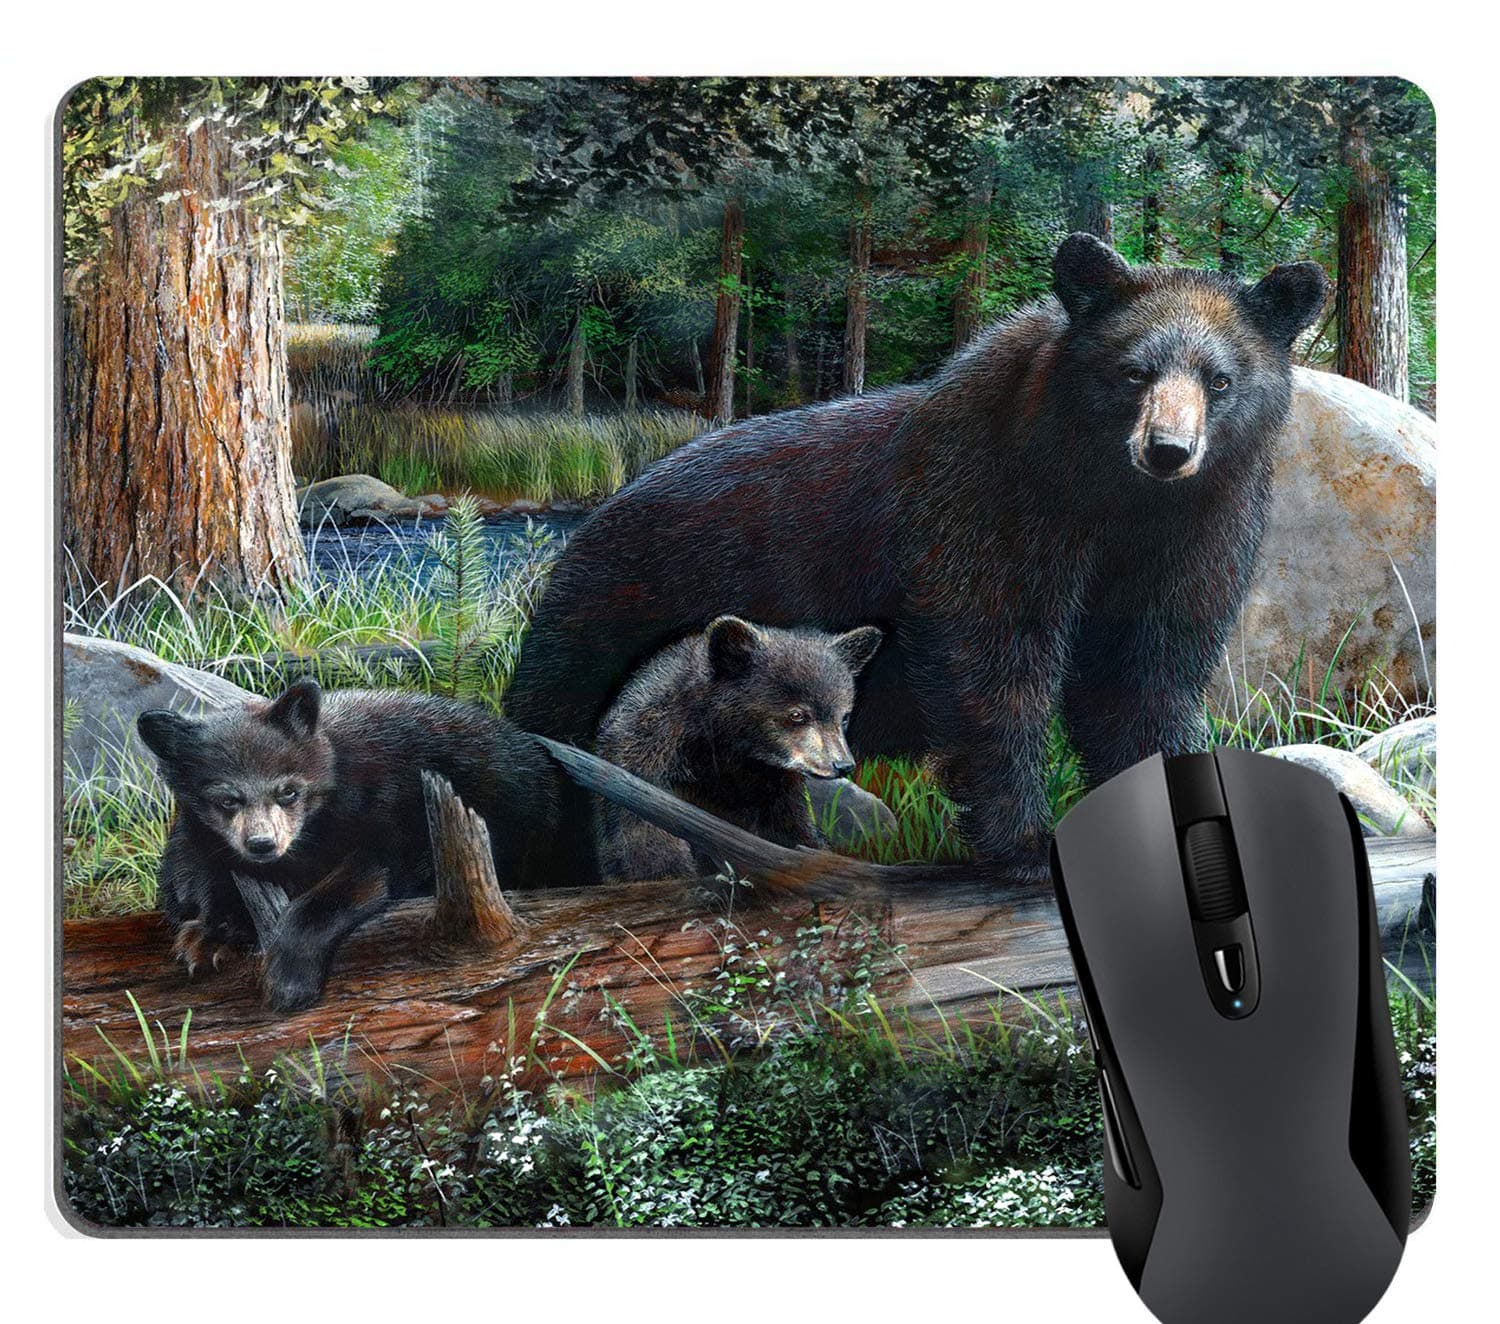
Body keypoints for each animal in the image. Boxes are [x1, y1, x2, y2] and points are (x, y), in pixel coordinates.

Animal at [137, 679, 565, 1011]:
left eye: (288, 791)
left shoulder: (389, 807)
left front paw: (288, 980)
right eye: (227, 799)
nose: (262, 843)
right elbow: (191, 876)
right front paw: (209, 936)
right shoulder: (198, 835)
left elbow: (368, 873)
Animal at [594, 615, 884, 880]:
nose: (842, 764)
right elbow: (644, 835)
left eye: (844, 716)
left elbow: (791, 827)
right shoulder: (646, 754)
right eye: (797, 715)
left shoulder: (774, 784)